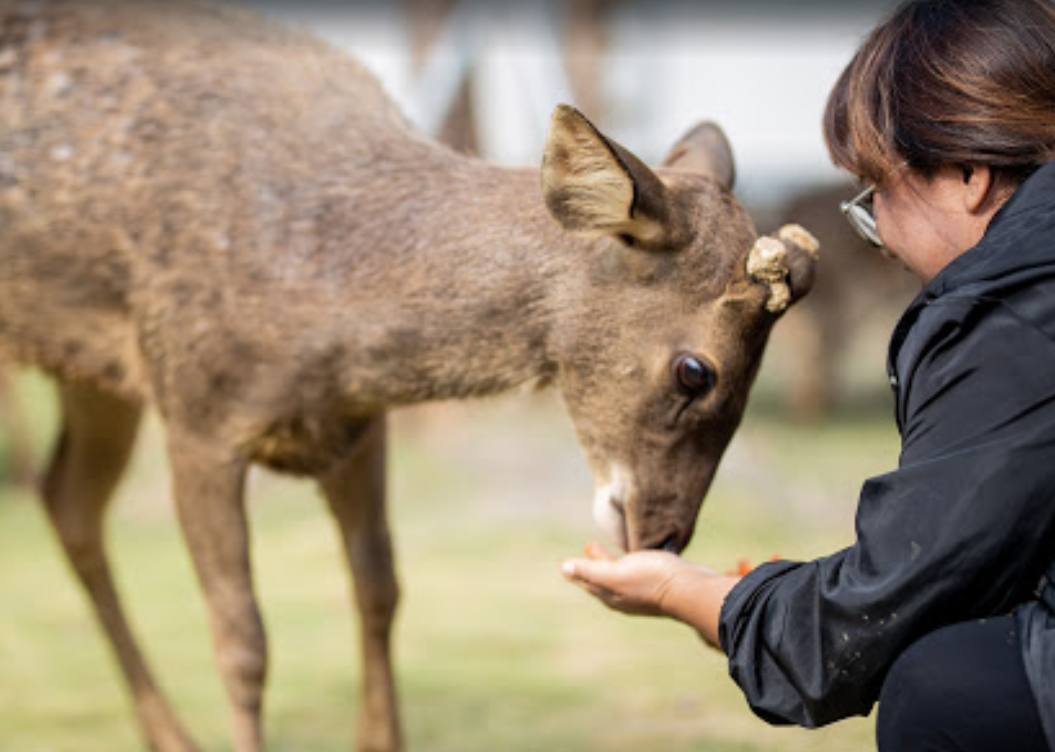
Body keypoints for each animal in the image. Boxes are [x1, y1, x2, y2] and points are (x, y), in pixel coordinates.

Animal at [0, 1, 818, 750]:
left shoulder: (355, 423)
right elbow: (242, 642)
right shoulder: (197, 408)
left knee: (67, 498)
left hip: (93, 371)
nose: (667, 536)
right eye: (694, 371)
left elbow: (380, 590)